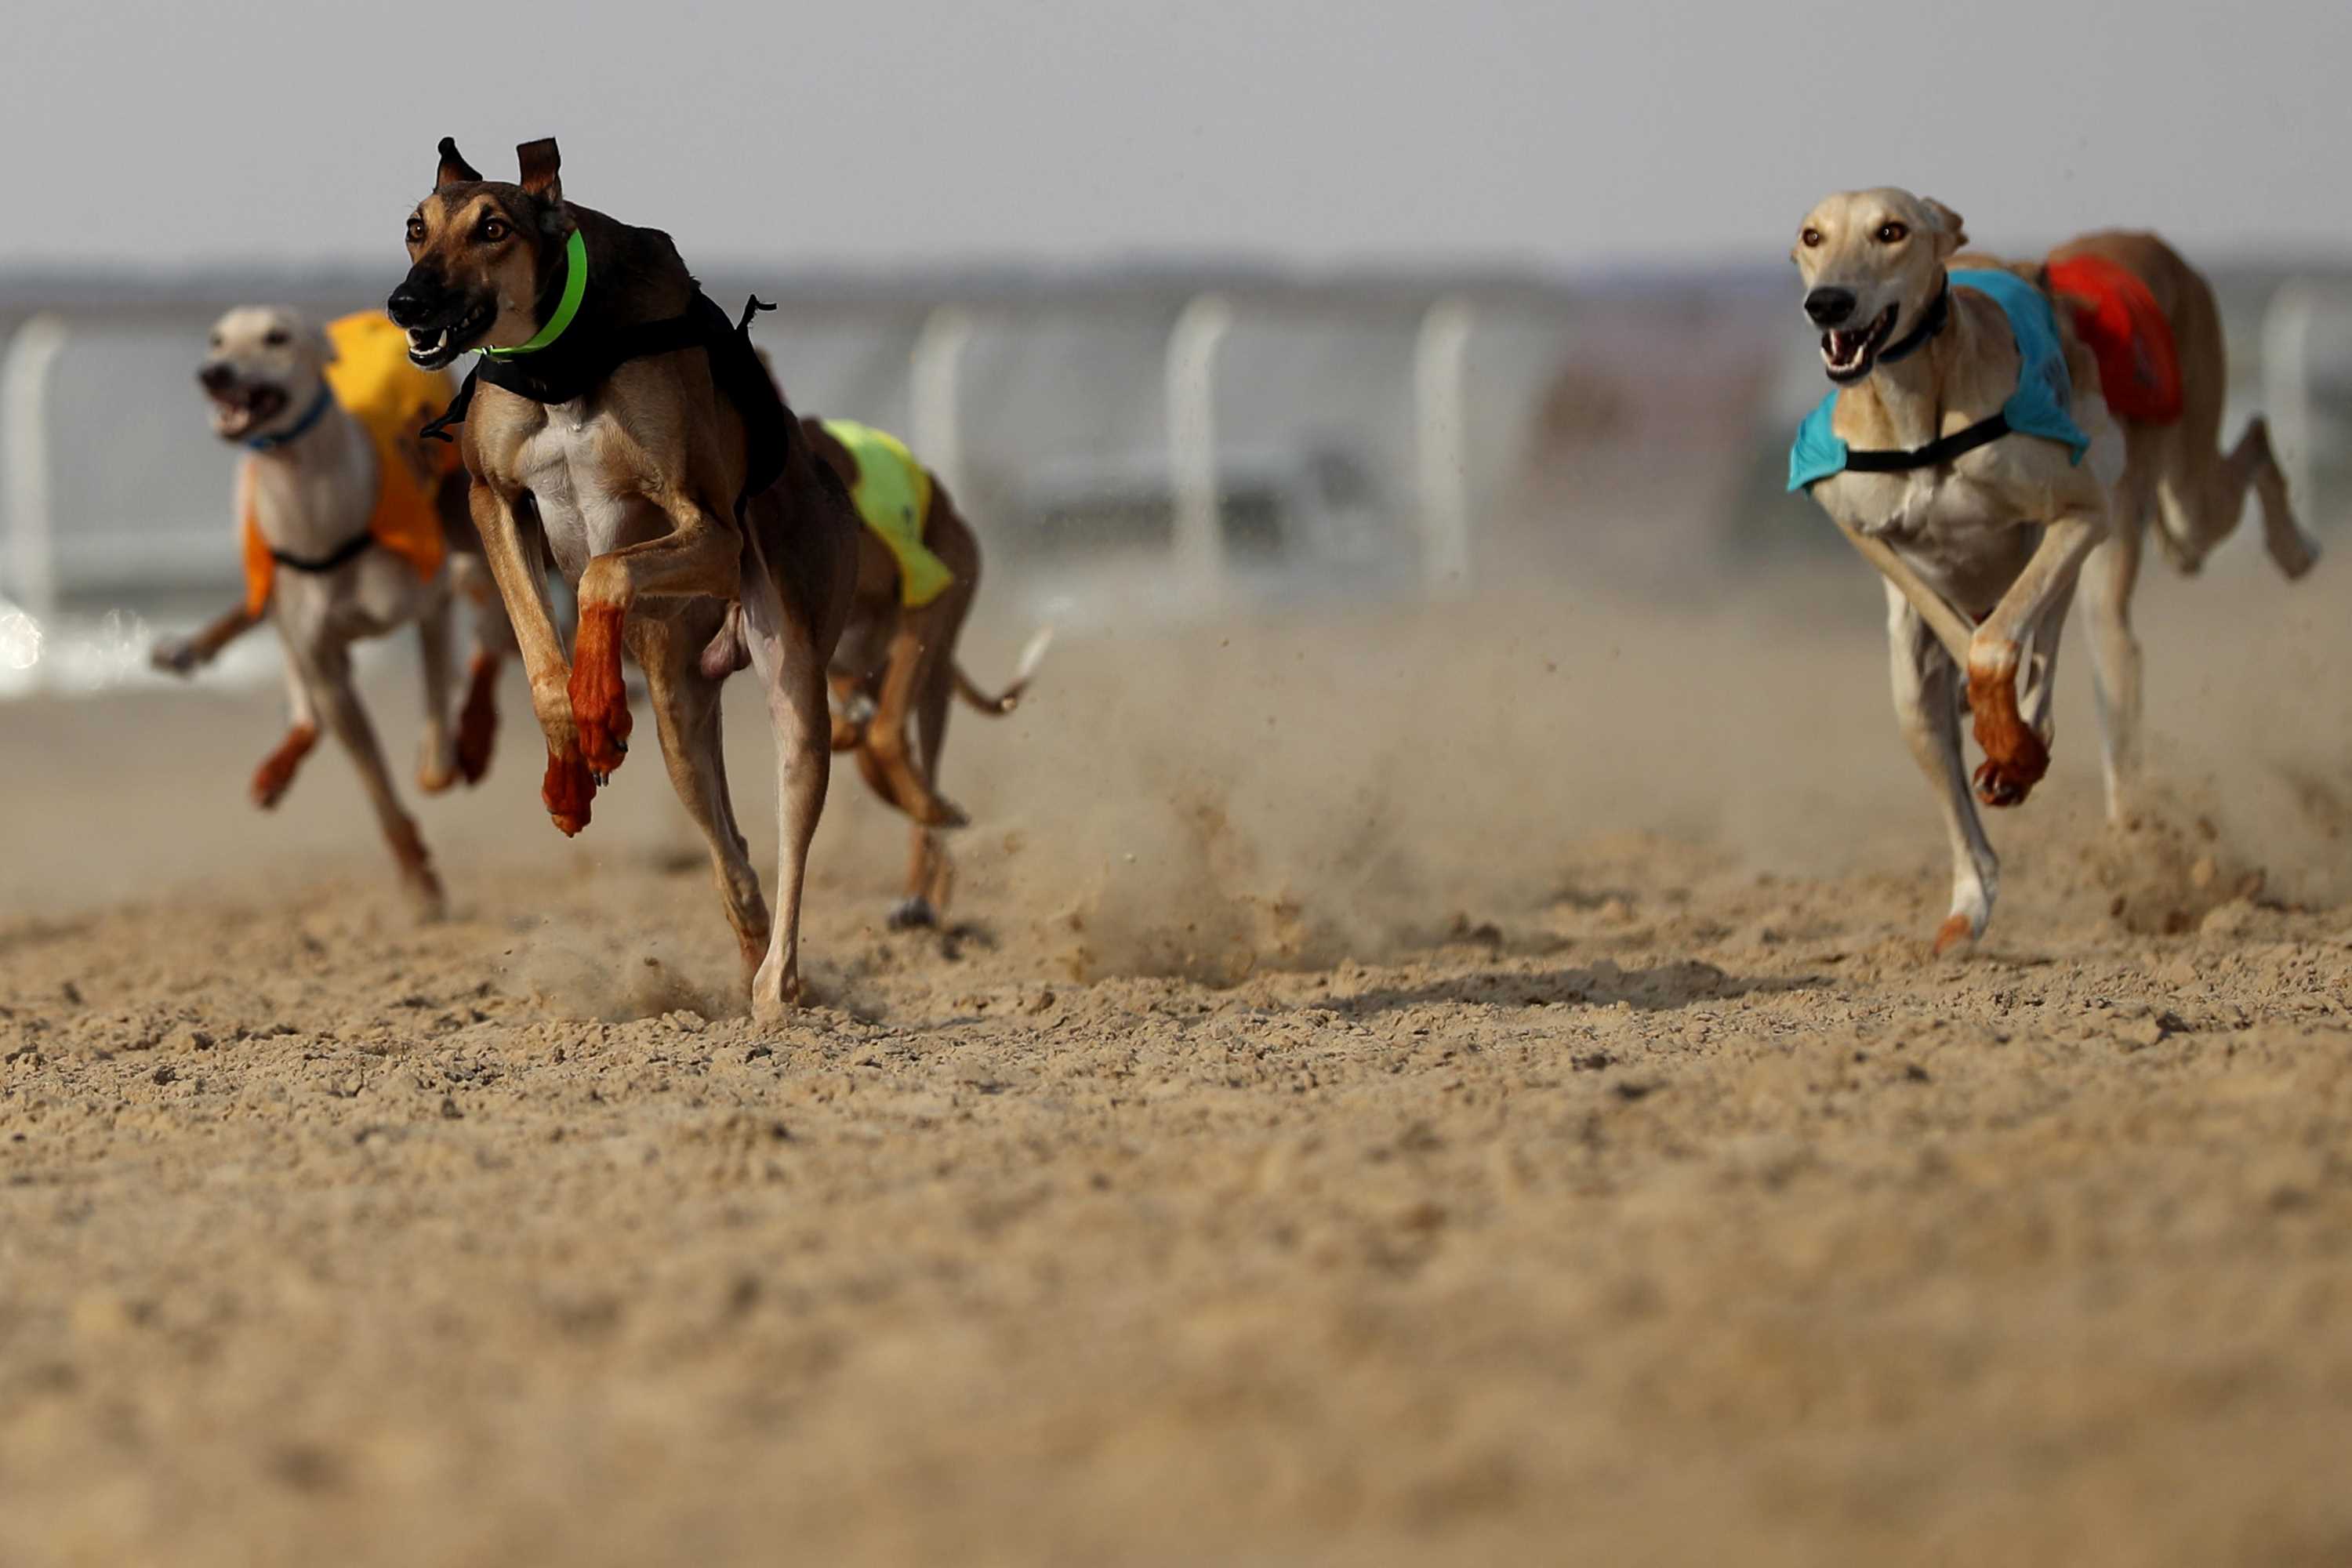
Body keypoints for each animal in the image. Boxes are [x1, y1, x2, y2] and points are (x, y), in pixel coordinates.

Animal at [381, 135, 861, 1020]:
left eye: (493, 227)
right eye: (415, 227)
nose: (406, 303)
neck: (561, 359)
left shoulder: (711, 529)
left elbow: (603, 573)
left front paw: (600, 708)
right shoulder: (494, 501)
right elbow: (544, 657)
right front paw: (570, 765)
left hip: (792, 672)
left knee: (790, 826)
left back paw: (778, 986)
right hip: (679, 707)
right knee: (731, 855)